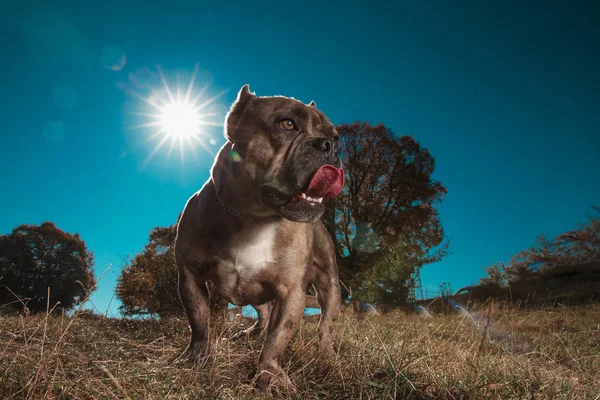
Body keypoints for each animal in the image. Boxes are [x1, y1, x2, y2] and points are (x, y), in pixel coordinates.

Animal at [173, 85, 342, 394]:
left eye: (336, 137)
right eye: (287, 124)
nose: (329, 146)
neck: (255, 218)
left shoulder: (291, 292)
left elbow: (278, 339)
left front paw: (269, 375)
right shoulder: (189, 276)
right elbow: (199, 321)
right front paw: (197, 357)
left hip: (329, 282)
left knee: (324, 324)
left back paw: (326, 354)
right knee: (263, 313)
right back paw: (252, 332)